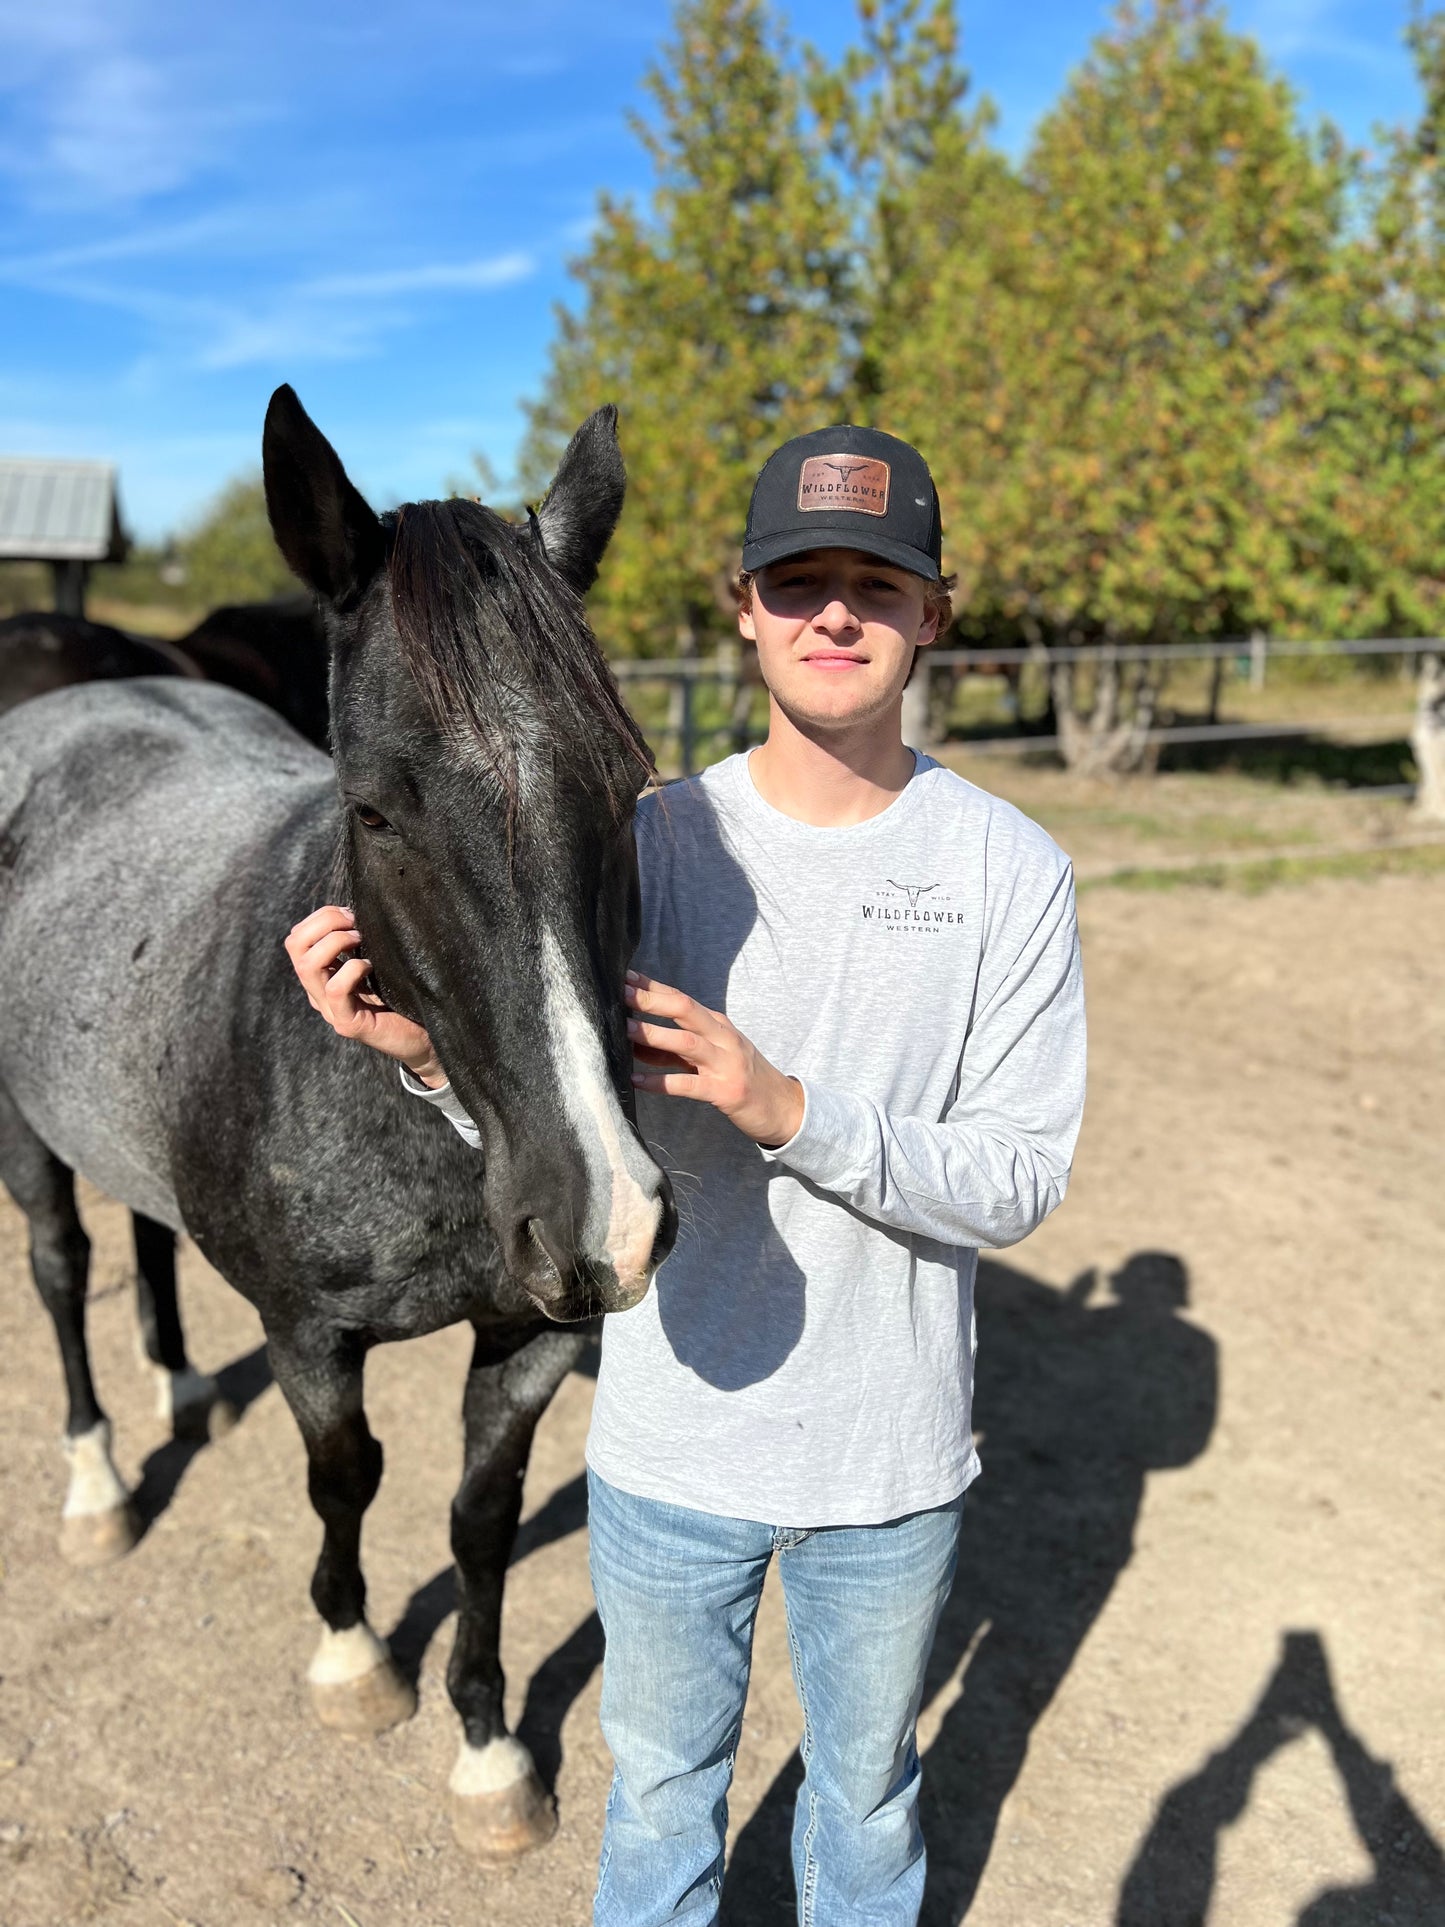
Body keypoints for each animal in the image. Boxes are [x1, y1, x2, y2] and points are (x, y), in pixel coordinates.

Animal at [0, 387, 678, 1849]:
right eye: (371, 806)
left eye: (629, 785)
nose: (605, 1217)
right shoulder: (312, 1334)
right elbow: (347, 1476)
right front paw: (354, 1657)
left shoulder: (532, 1335)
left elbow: (481, 1514)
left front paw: (488, 1747)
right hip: (20, 1124)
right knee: (63, 1263)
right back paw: (96, 1482)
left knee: (144, 1234)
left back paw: (182, 1385)